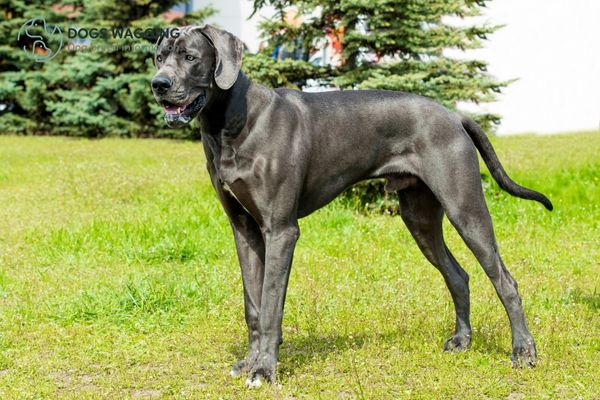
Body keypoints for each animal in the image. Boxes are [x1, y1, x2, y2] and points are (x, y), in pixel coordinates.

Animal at [151, 25, 552, 388]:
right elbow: (253, 304)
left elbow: (270, 308)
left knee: (505, 280)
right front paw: (250, 363)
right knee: (458, 275)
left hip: (465, 209)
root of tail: (454, 115)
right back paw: (462, 341)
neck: (232, 121)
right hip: (419, 218)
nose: (158, 84)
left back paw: (523, 351)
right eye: (158, 57)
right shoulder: (244, 230)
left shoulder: (281, 231)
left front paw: (264, 370)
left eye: (190, 57)